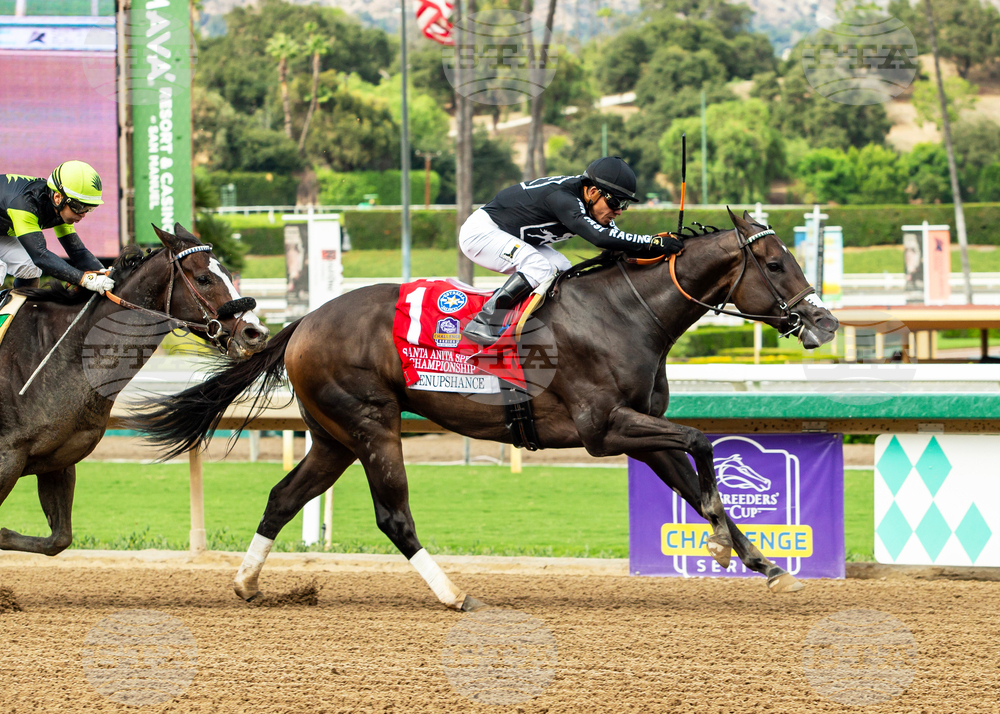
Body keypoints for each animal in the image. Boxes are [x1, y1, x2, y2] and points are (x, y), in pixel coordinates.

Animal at [0, 223, 270, 556]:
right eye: (203, 278)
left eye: (229, 273)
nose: (256, 333)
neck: (61, 349)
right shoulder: (8, 456)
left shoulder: (58, 459)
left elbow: (58, 540)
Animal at [132, 209, 839, 610]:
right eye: (775, 262)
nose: (825, 322)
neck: (624, 313)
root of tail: (304, 320)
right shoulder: (604, 428)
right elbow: (701, 441)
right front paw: (724, 547)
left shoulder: (638, 432)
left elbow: (692, 477)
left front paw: (760, 563)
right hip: (371, 423)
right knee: (394, 517)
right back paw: (453, 594)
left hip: (333, 435)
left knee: (283, 498)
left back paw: (248, 585)